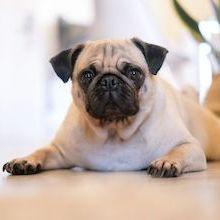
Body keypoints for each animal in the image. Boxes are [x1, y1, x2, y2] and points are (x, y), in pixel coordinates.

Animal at [3, 36, 220, 177]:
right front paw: (25, 160)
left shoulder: (189, 146)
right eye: (87, 75)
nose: (109, 81)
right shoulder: (59, 151)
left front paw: (166, 161)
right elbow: (42, 151)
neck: (114, 130)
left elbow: (178, 151)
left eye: (134, 73)